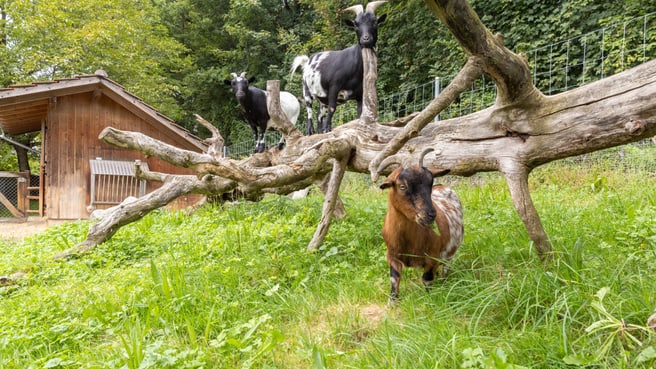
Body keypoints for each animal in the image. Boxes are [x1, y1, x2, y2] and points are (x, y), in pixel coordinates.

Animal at [290, 1, 386, 134]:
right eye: (356, 25)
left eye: (375, 22)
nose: (366, 39)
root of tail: (307, 61)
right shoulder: (334, 86)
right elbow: (332, 108)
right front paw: (327, 129)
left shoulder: (360, 93)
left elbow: (360, 112)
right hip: (306, 90)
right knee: (309, 110)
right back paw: (311, 131)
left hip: (322, 98)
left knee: (319, 114)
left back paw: (320, 130)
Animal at [376, 150, 464, 302]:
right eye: (402, 186)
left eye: (430, 184)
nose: (431, 215)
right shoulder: (392, 256)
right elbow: (394, 280)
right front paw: (392, 303)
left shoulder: (432, 259)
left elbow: (427, 281)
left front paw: (428, 301)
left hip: (450, 254)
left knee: (445, 269)